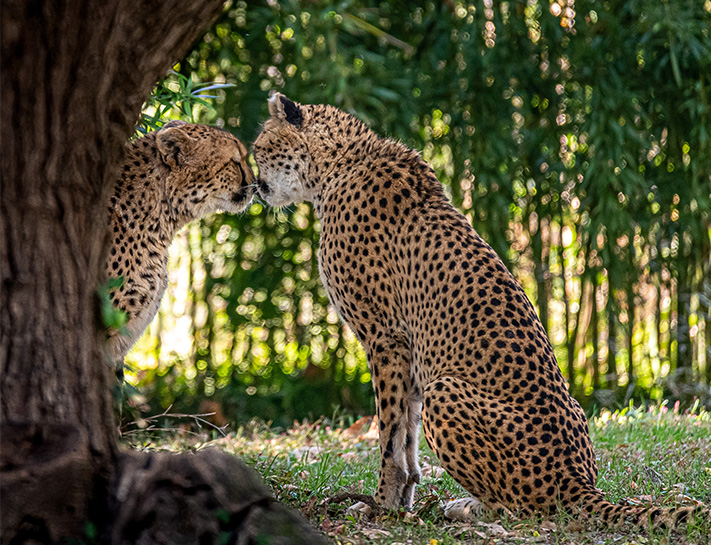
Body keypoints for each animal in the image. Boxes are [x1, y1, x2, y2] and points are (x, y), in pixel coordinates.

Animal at [253, 93, 708, 528]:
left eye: (259, 148)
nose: (255, 187)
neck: (337, 165)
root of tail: (578, 482)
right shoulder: (409, 349)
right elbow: (407, 435)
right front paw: (403, 502)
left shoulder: (386, 337)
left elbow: (390, 434)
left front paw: (381, 505)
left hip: (446, 390)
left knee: (525, 509)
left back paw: (470, 509)